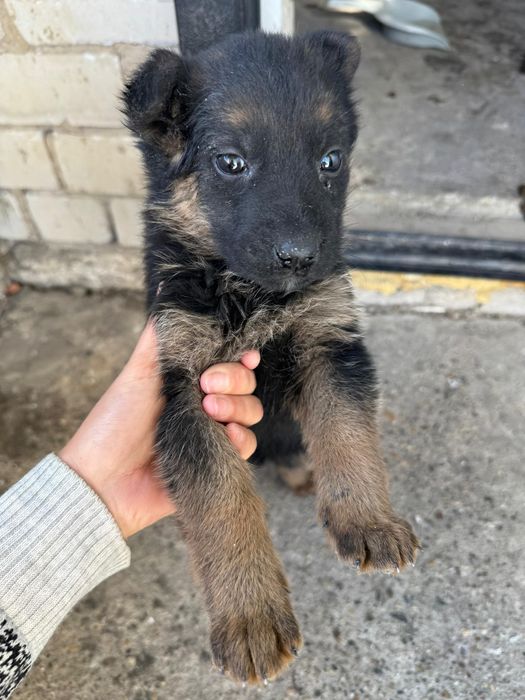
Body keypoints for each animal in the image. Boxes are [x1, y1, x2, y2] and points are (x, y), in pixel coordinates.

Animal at [123, 30, 419, 685]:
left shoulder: (330, 342)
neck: (248, 292)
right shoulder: (189, 385)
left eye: (330, 161)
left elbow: (347, 433)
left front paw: (368, 519)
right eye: (231, 162)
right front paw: (250, 617)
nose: (301, 257)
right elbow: (219, 498)